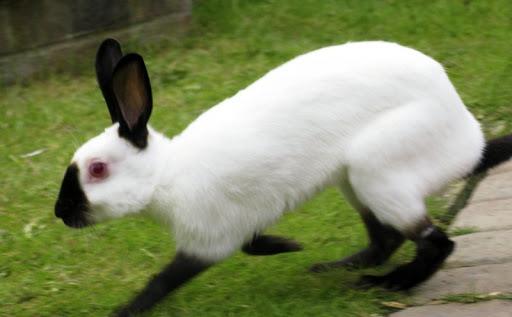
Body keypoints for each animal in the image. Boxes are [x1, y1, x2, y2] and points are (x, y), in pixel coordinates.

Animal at [56, 38, 512, 314]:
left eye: (97, 170)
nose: (61, 212)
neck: (168, 175)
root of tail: (470, 143)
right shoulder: (236, 224)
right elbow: (252, 244)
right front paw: (288, 246)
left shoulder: (205, 241)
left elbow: (163, 280)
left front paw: (126, 310)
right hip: (353, 180)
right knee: (387, 238)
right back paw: (334, 269)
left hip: (377, 171)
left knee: (435, 244)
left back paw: (386, 284)